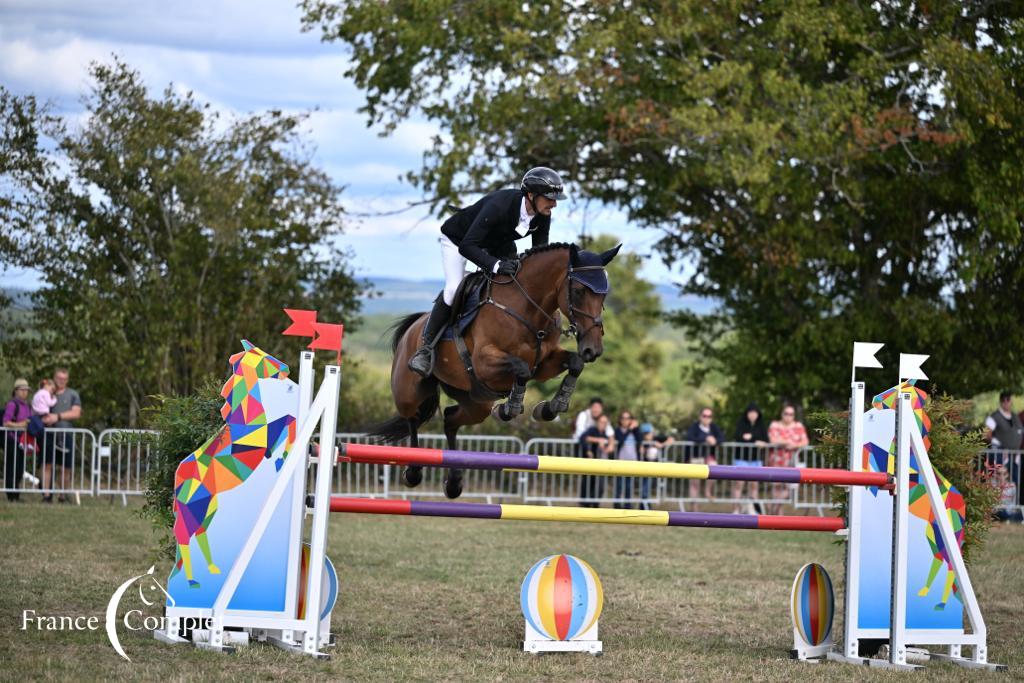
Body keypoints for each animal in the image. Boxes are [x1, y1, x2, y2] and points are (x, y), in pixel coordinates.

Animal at [372, 242, 618, 499]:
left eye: (604, 294)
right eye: (579, 291)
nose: (593, 349)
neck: (528, 308)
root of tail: (415, 325)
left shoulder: (544, 364)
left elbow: (574, 364)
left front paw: (550, 408)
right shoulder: (485, 362)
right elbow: (521, 369)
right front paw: (509, 408)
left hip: (476, 402)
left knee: (450, 419)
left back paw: (454, 483)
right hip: (409, 391)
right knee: (413, 417)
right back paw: (413, 472)